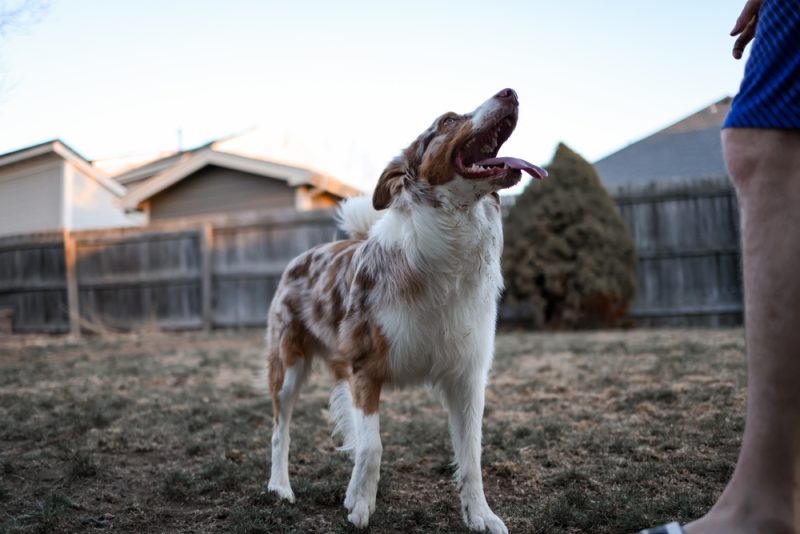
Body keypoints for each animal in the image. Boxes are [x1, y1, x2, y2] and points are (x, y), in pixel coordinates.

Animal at [266, 88, 548, 532]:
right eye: (448, 121)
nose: (510, 92)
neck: (451, 240)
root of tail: (304, 255)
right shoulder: (366, 369)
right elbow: (374, 448)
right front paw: (360, 506)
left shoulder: (466, 376)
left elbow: (472, 457)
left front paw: (481, 515)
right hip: (288, 367)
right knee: (281, 430)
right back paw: (280, 487)